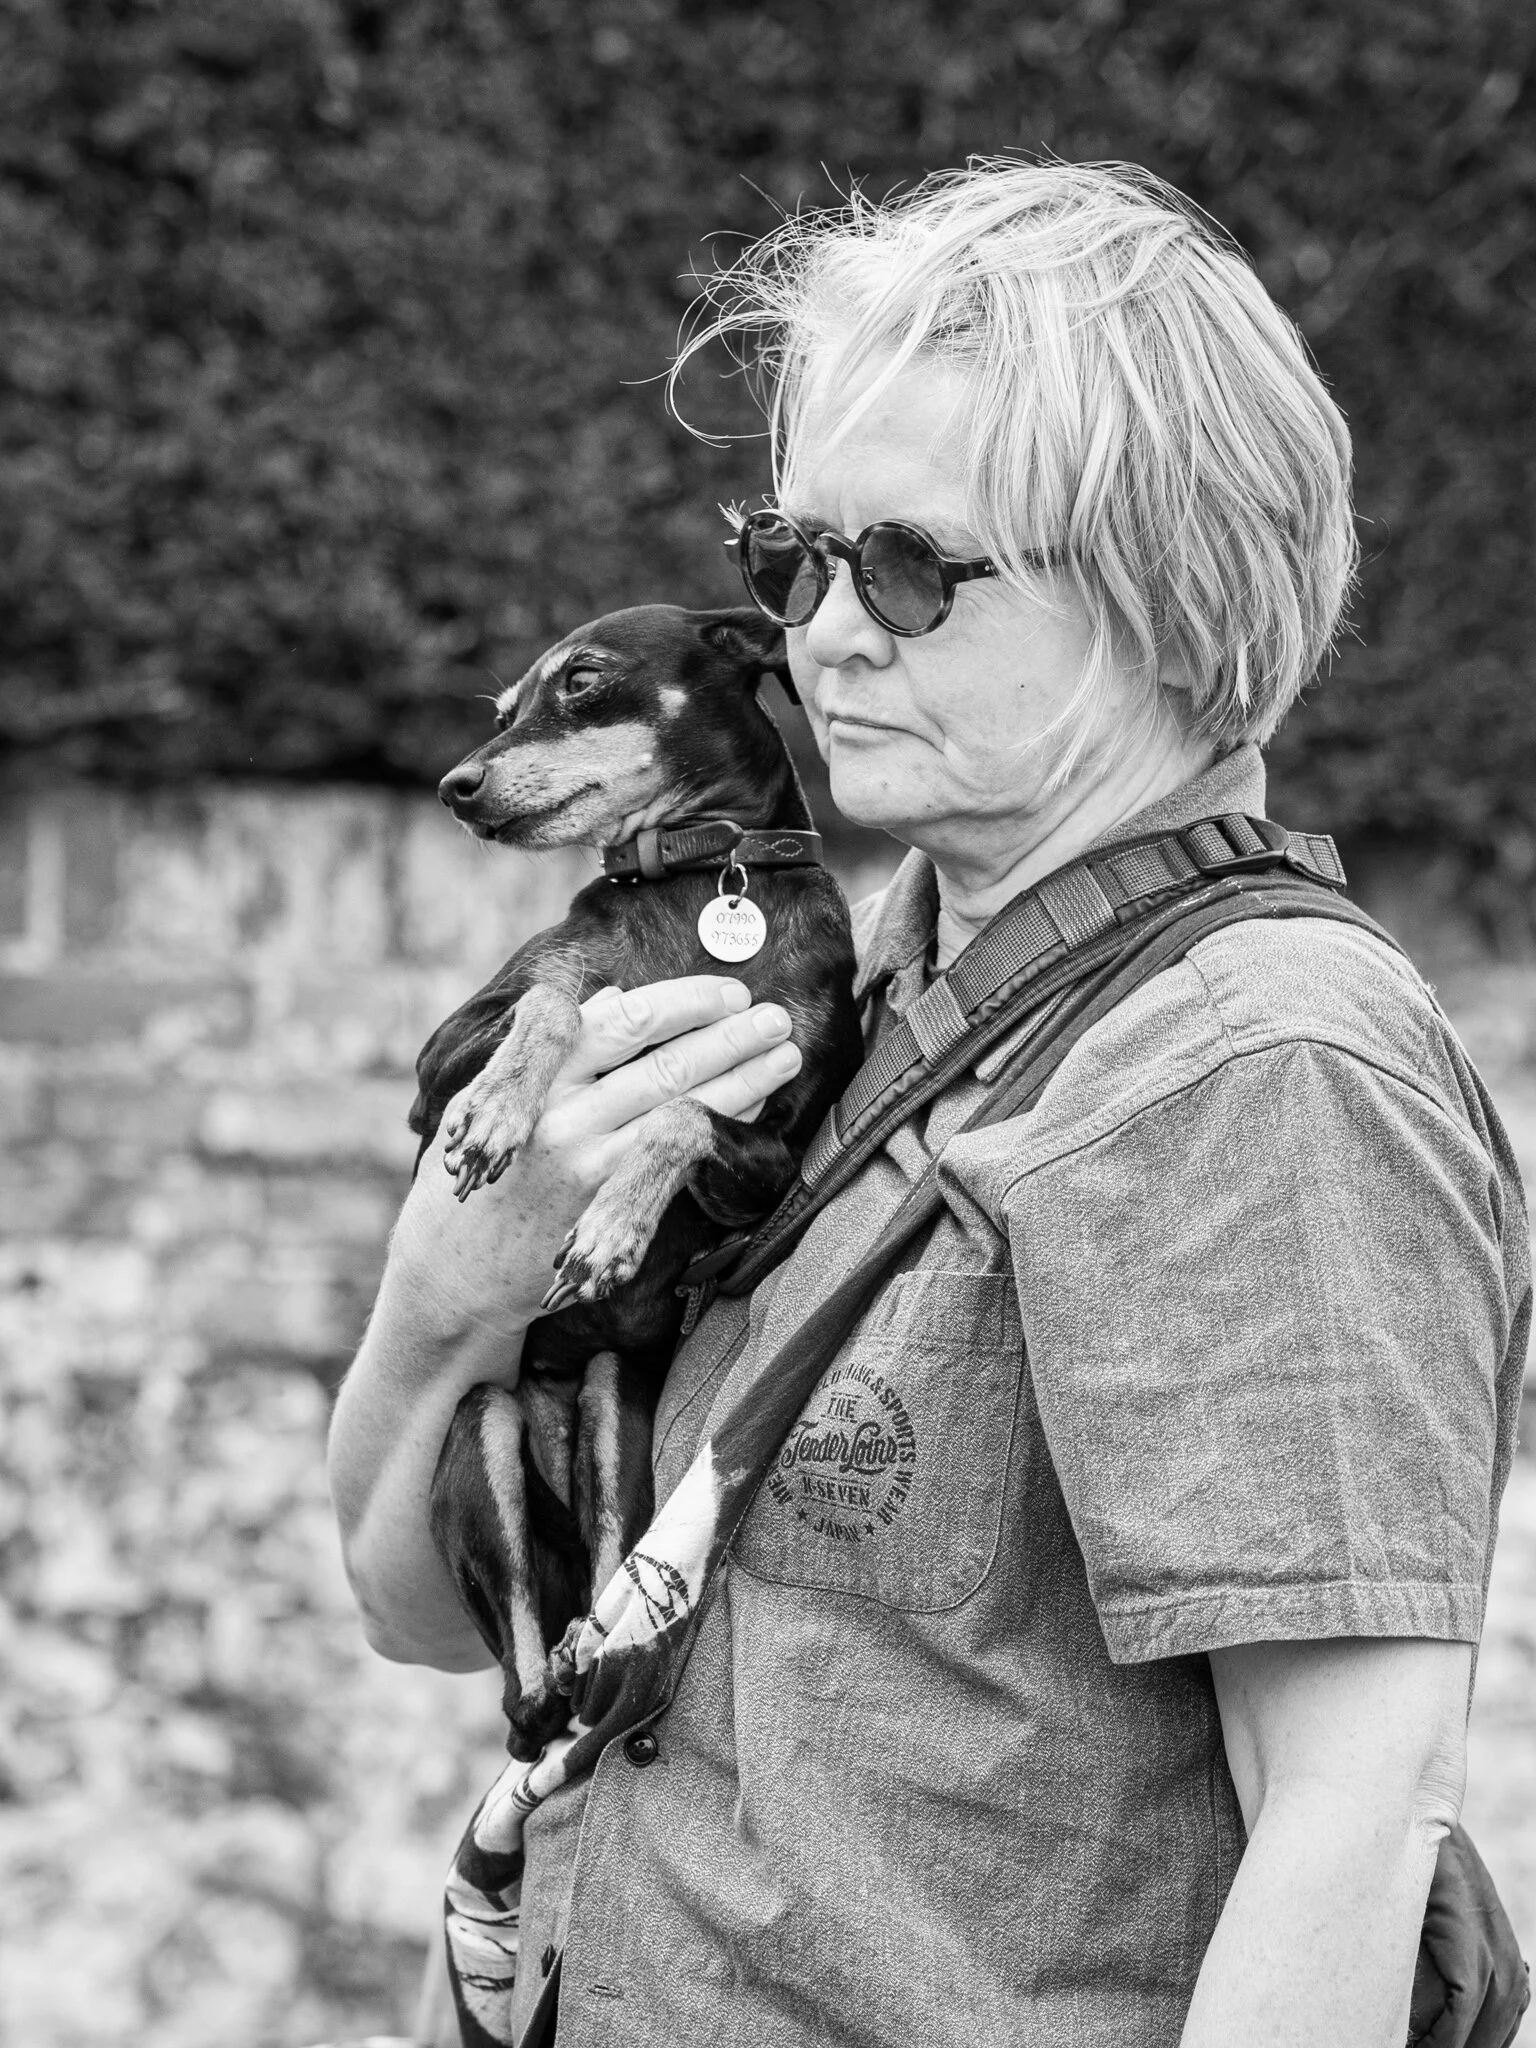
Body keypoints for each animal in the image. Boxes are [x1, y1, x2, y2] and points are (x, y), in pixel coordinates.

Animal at [411, 604, 865, 1755]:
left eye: (581, 680)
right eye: (501, 708)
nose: (455, 786)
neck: (701, 879)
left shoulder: (776, 1161)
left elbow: (681, 1110)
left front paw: (615, 1225)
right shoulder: (436, 1064)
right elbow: (557, 999)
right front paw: (497, 1110)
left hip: (616, 1390)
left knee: (606, 1572)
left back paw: (593, 1640)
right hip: (484, 1423)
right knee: (521, 1685)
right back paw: (552, 1667)